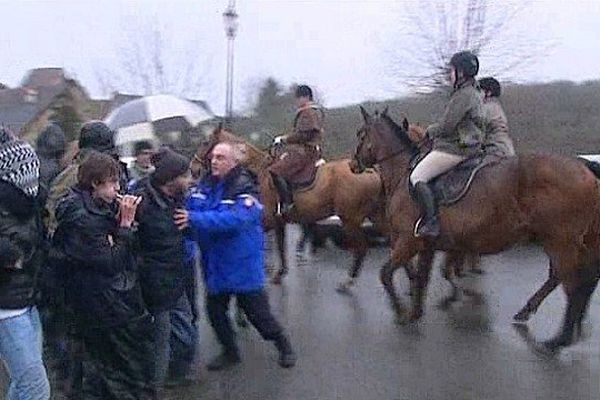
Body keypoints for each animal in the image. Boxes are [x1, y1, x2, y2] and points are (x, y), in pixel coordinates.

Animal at [195, 125, 386, 288]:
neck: (258, 172)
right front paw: (278, 272)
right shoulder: (278, 223)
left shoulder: (266, 222)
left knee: (361, 248)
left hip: (350, 220)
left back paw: (348, 281)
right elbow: (280, 246)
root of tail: (372, 171)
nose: (193, 169)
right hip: (376, 217)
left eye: (205, 142)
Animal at [352, 107, 600, 354]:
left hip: (560, 241)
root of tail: (583, 167)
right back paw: (545, 320)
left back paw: (558, 339)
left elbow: (386, 274)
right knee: (573, 279)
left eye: (361, 134)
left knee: (572, 285)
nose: (353, 165)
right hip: (567, 240)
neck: (404, 175)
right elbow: (423, 278)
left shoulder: (407, 242)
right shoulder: (427, 245)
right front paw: (416, 312)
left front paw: (401, 312)